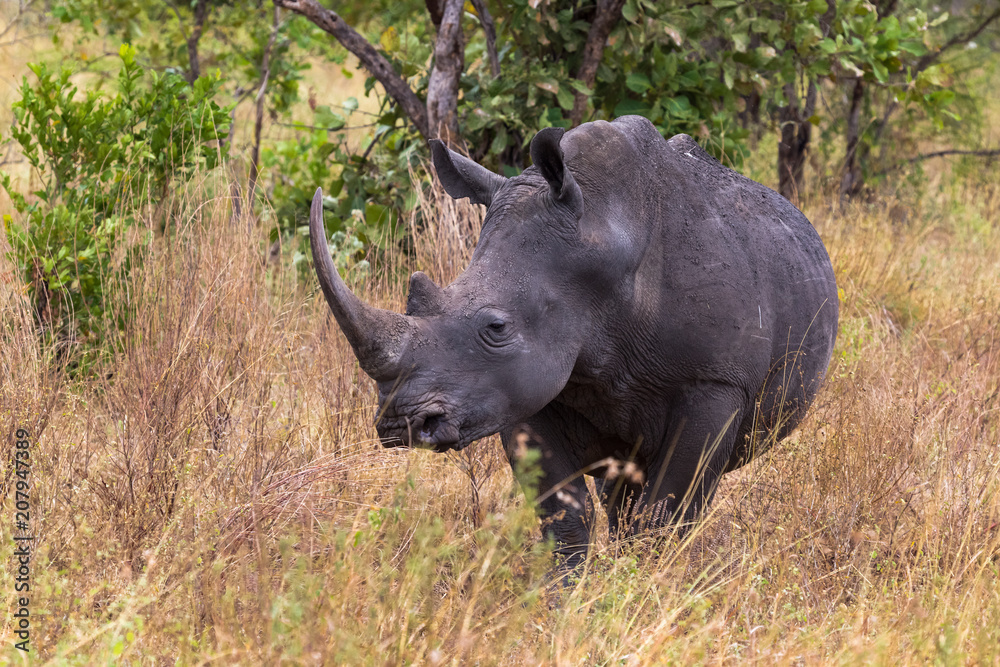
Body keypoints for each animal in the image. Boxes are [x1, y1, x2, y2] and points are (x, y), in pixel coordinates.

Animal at [310, 115, 838, 568]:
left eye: (497, 328)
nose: (400, 425)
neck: (602, 241)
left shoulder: (715, 382)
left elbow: (666, 514)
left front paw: (643, 591)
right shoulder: (521, 389)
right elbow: (565, 517)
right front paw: (566, 601)